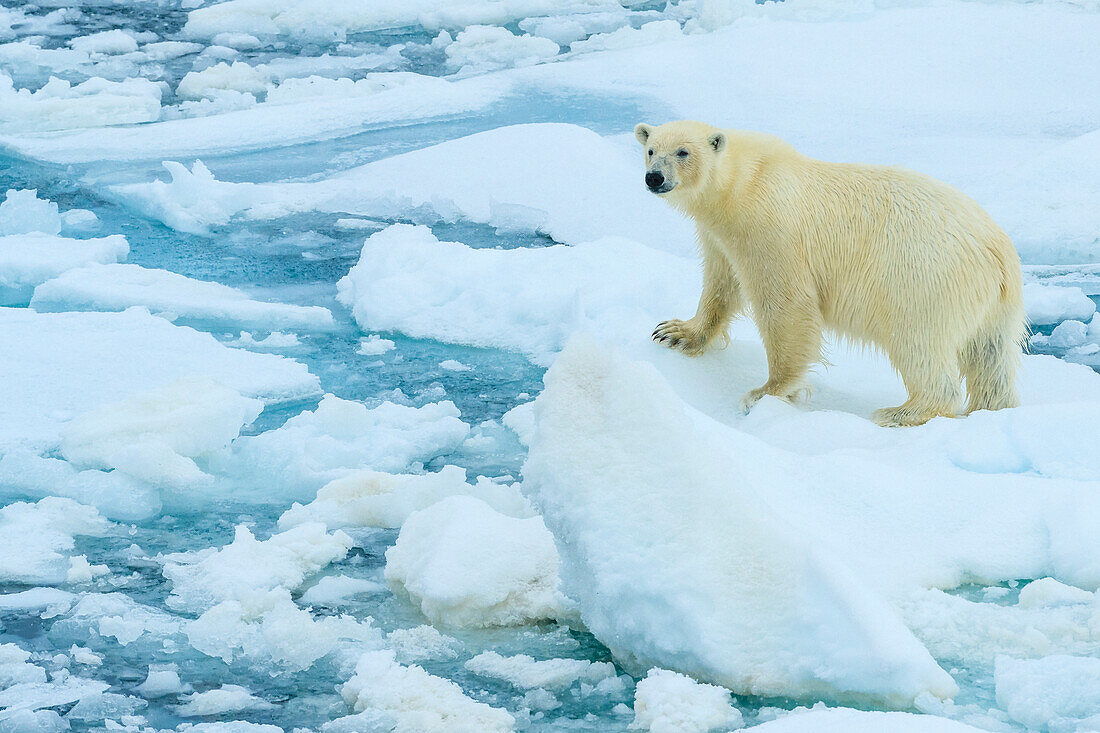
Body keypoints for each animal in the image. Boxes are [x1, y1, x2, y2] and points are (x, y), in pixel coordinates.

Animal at [642, 121, 1025, 429]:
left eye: (683, 151)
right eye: (650, 150)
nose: (654, 177)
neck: (743, 182)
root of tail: (999, 251)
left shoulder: (770, 227)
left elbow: (786, 305)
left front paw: (764, 392)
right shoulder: (720, 236)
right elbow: (721, 284)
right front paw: (676, 332)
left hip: (922, 278)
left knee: (918, 342)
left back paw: (900, 412)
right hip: (994, 306)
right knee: (991, 358)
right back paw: (992, 408)